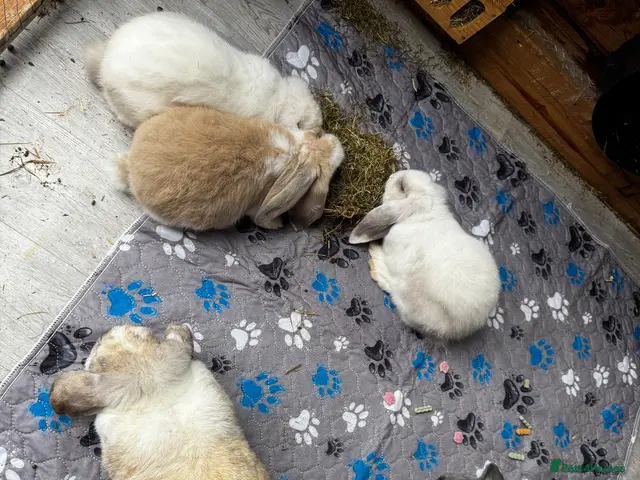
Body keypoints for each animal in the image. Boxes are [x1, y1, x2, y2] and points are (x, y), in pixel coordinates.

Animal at [116, 105, 344, 231]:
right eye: (327, 171)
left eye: (316, 136)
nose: (339, 144)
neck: (296, 152)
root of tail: (131, 165)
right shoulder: (257, 208)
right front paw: (277, 224)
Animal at [348, 170, 500, 340]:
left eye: (402, 186)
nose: (392, 175)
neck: (423, 214)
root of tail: (463, 327)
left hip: (408, 292)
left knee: (394, 291)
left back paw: (376, 258)